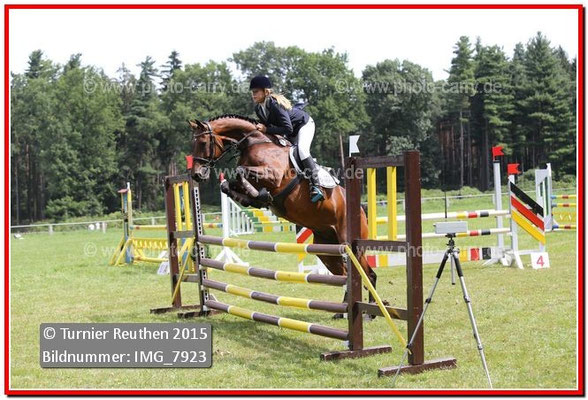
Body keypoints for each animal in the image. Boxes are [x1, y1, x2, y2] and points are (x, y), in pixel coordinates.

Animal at [188, 114, 378, 314]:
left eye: (202, 142)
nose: (196, 175)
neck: (253, 143)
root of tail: (360, 211)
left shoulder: (274, 176)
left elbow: (240, 172)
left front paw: (260, 195)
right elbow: (228, 184)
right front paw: (254, 198)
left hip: (348, 244)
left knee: (368, 274)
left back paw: (370, 311)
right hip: (327, 250)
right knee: (345, 275)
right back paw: (342, 311)